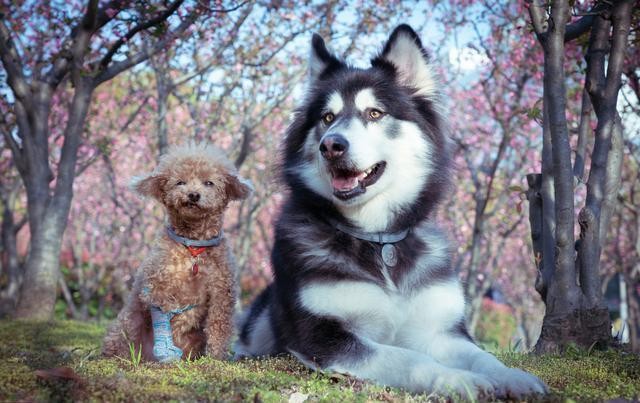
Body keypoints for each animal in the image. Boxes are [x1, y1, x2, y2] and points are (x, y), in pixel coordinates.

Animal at [102, 143, 250, 362]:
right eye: (180, 182)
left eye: (209, 183)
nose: (193, 195)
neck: (193, 248)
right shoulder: (158, 287)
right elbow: (163, 315)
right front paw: (166, 350)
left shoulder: (221, 293)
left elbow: (218, 327)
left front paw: (216, 357)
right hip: (128, 325)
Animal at [238, 26, 548, 400]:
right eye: (327, 118)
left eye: (375, 113)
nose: (331, 145)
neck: (377, 237)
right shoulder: (324, 337)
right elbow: (408, 358)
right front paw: (459, 380)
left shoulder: (440, 330)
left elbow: (482, 356)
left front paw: (512, 377)